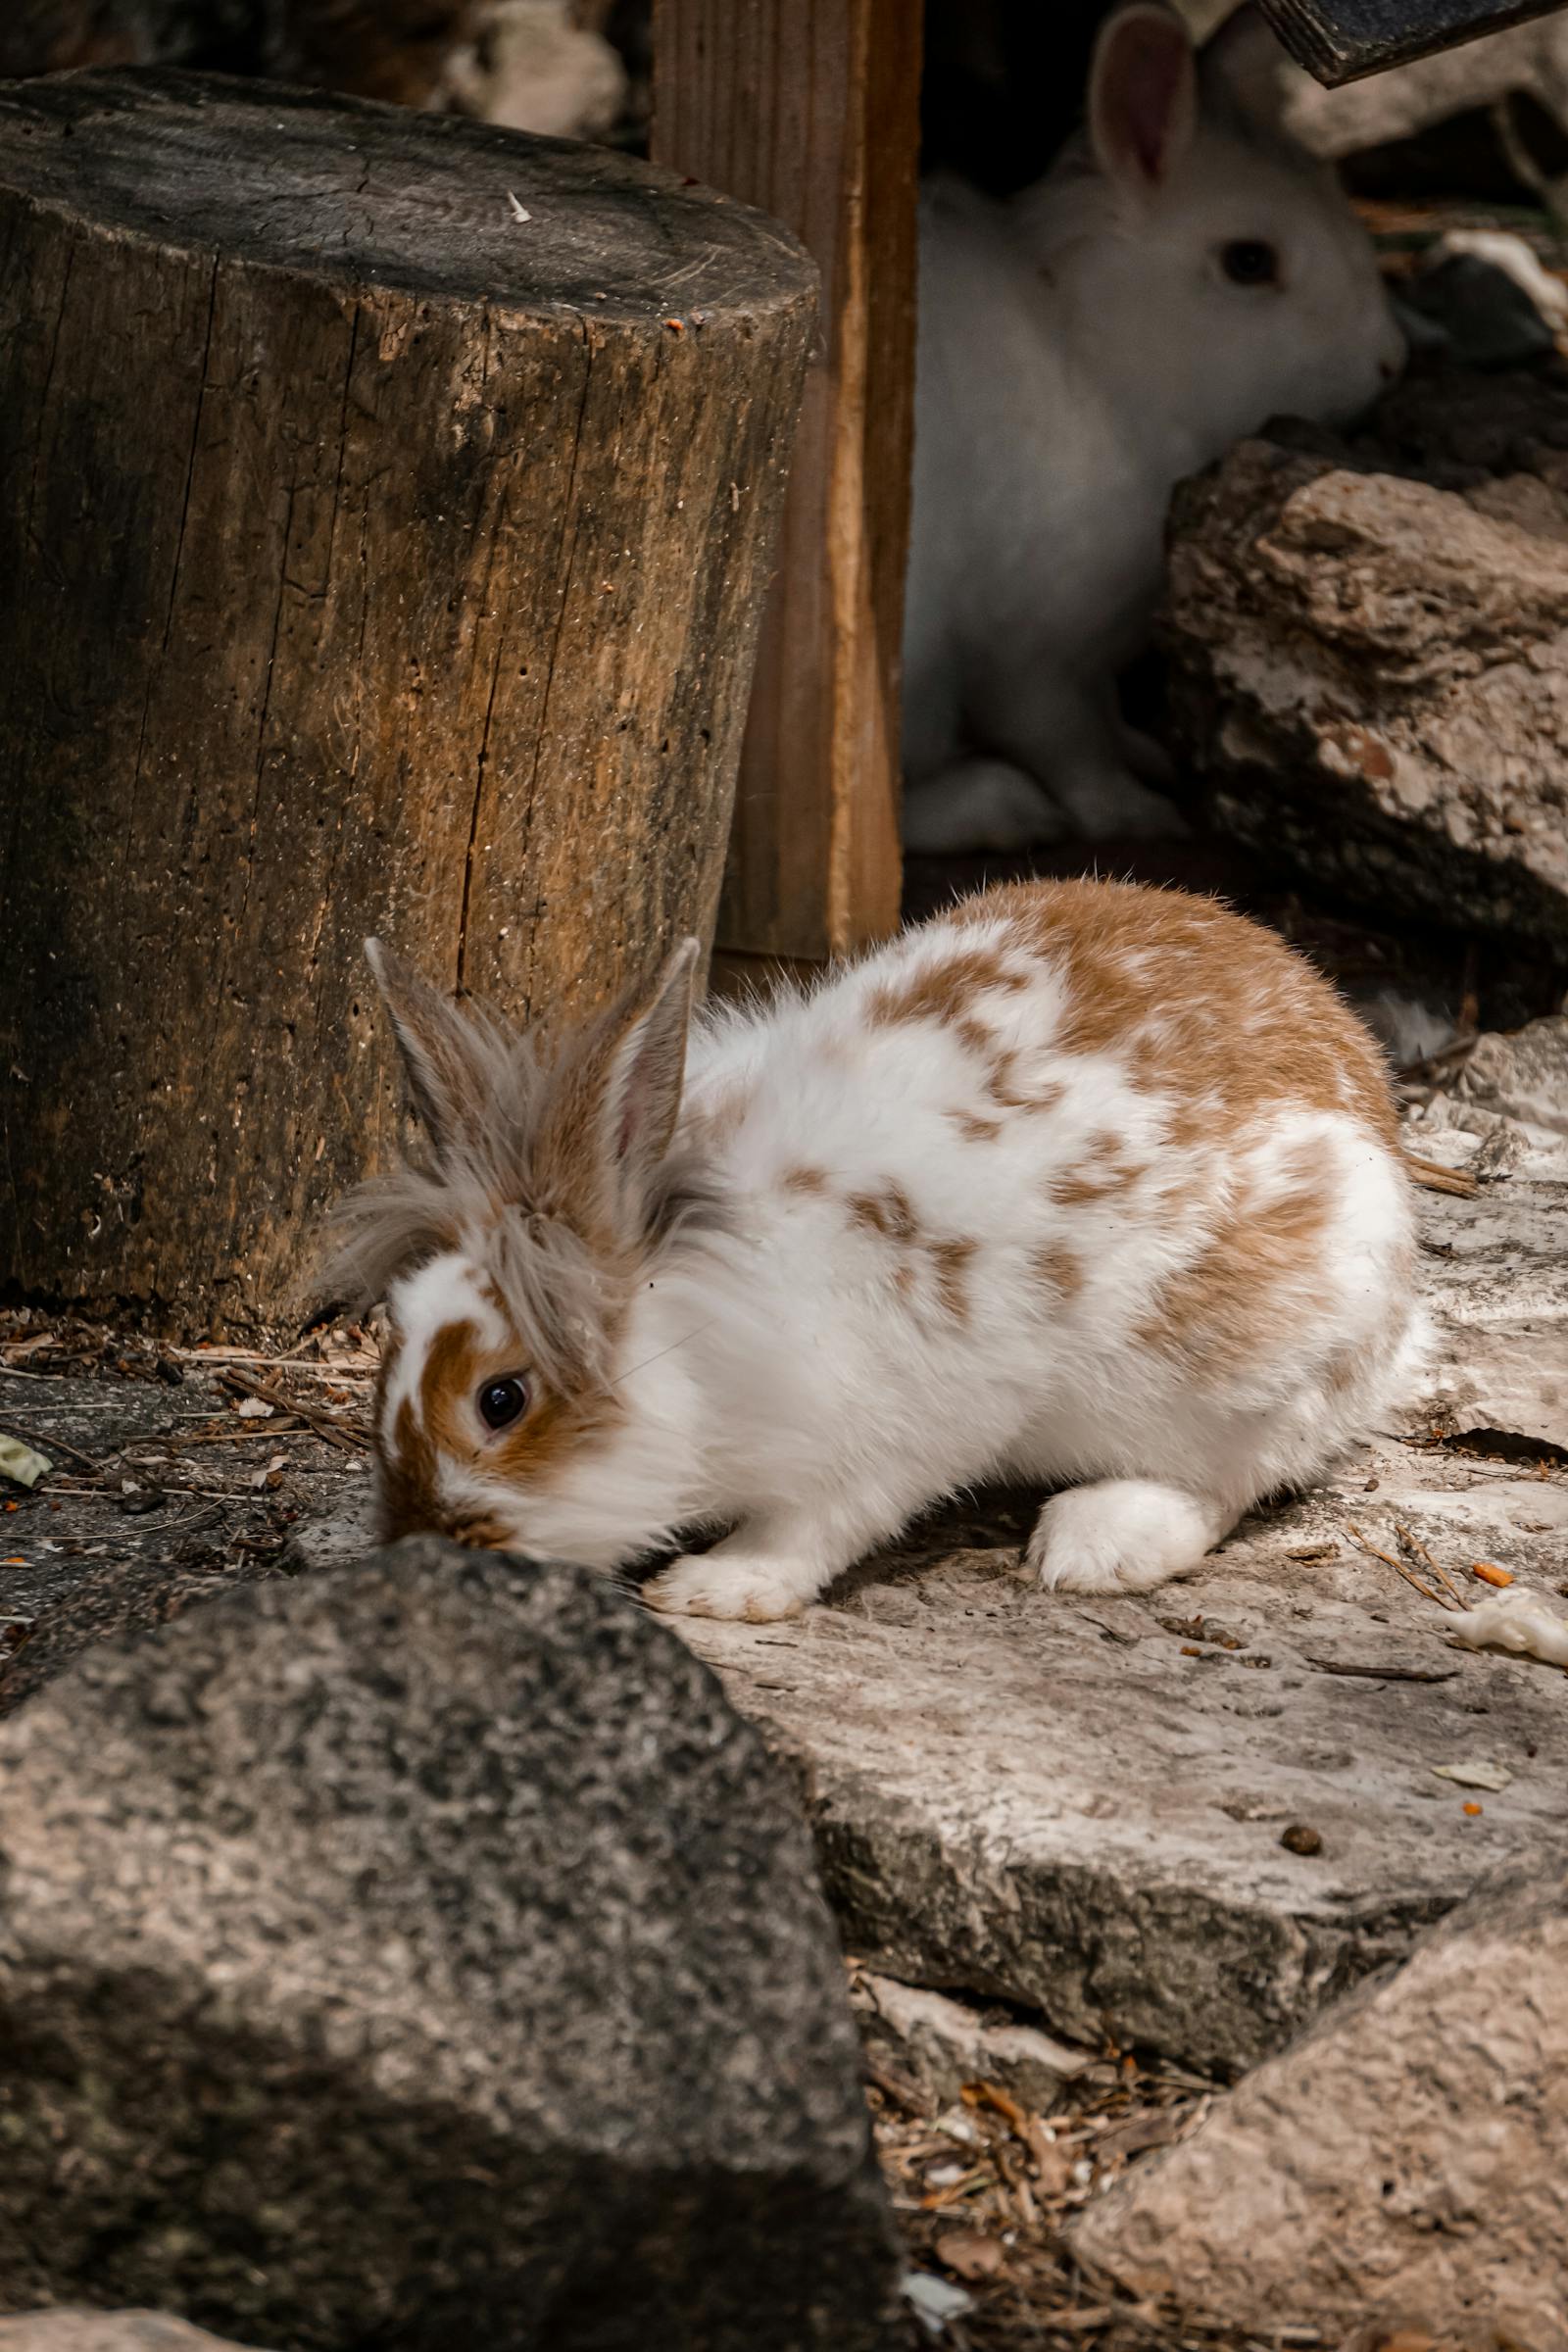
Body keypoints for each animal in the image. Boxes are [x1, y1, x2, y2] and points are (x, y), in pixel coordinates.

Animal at [323, 877, 1419, 1622]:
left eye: (499, 1400)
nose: (416, 1544)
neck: (696, 1318)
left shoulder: (888, 1435)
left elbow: (816, 1526)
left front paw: (714, 1588)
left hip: (1247, 1366)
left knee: (1230, 1480)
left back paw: (1090, 1546)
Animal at [902, 0, 1408, 855]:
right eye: (1248, 261)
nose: (1390, 363)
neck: (1091, 354)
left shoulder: (1087, 657)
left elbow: (1107, 721)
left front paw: (1152, 756)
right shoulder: (1026, 655)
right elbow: (1069, 747)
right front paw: (1138, 816)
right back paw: (1003, 807)